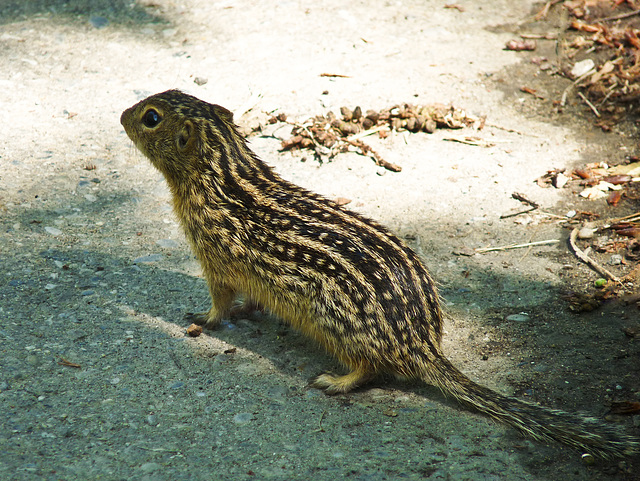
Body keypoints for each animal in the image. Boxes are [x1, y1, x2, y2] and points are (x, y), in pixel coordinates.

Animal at [119, 89, 636, 458]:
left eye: (151, 117)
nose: (123, 114)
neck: (223, 173)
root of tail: (423, 345)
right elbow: (247, 300)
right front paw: (249, 312)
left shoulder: (214, 260)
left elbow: (219, 301)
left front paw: (203, 320)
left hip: (333, 320)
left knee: (372, 369)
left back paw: (335, 381)